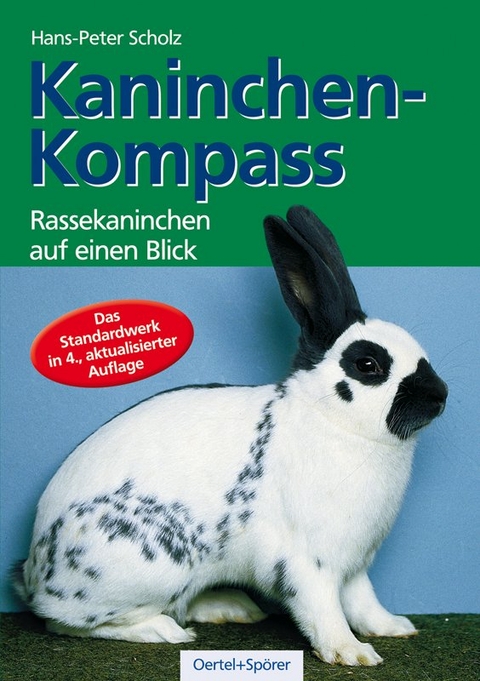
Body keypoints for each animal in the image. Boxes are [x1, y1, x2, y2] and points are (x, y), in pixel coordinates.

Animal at [14, 205, 448, 666]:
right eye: (368, 366)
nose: (440, 396)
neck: (331, 419)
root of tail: (36, 574)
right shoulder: (309, 563)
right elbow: (323, 609)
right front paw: (351, 652)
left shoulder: (355, 565)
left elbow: (362, 601)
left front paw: (393, 627)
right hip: (152, 564)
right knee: (66, 622)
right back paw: (165, 630)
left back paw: (232, 607)